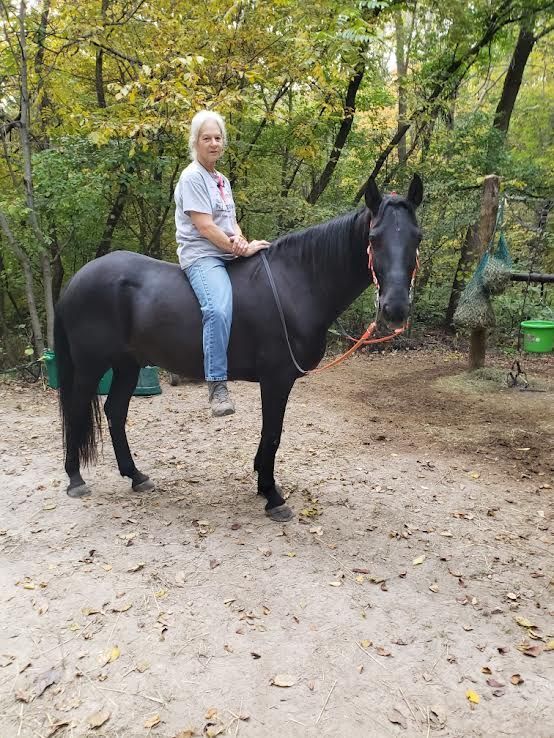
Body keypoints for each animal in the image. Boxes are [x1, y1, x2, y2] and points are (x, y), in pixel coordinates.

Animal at [54, 175, 423, 522]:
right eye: (374, 238)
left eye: (417, 237)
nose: (395, 307)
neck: (296, 284)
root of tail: (77, 280)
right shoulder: (276, 379)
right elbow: (272, 434)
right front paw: (272, 496)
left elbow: (269, 436)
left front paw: (263, 485)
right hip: (90, 367)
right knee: (76, 410)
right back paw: (75, 479)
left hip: (128, 365)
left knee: (115, 413)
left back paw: (135, 476)